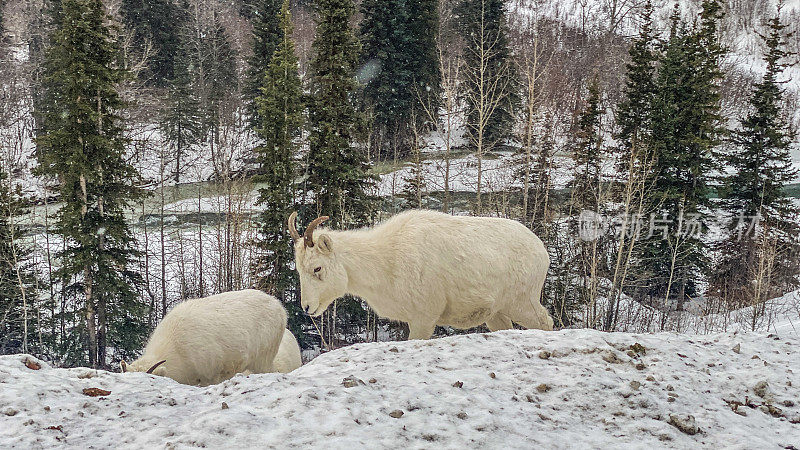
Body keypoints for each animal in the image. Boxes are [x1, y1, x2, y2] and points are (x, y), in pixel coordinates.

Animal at [290, 209, 556, 340]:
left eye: (317, 268)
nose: (307, 307)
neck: (386, 260)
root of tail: (541, 251)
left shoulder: (424, 319)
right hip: (497, 315)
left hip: (522, 304)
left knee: (546, 323)